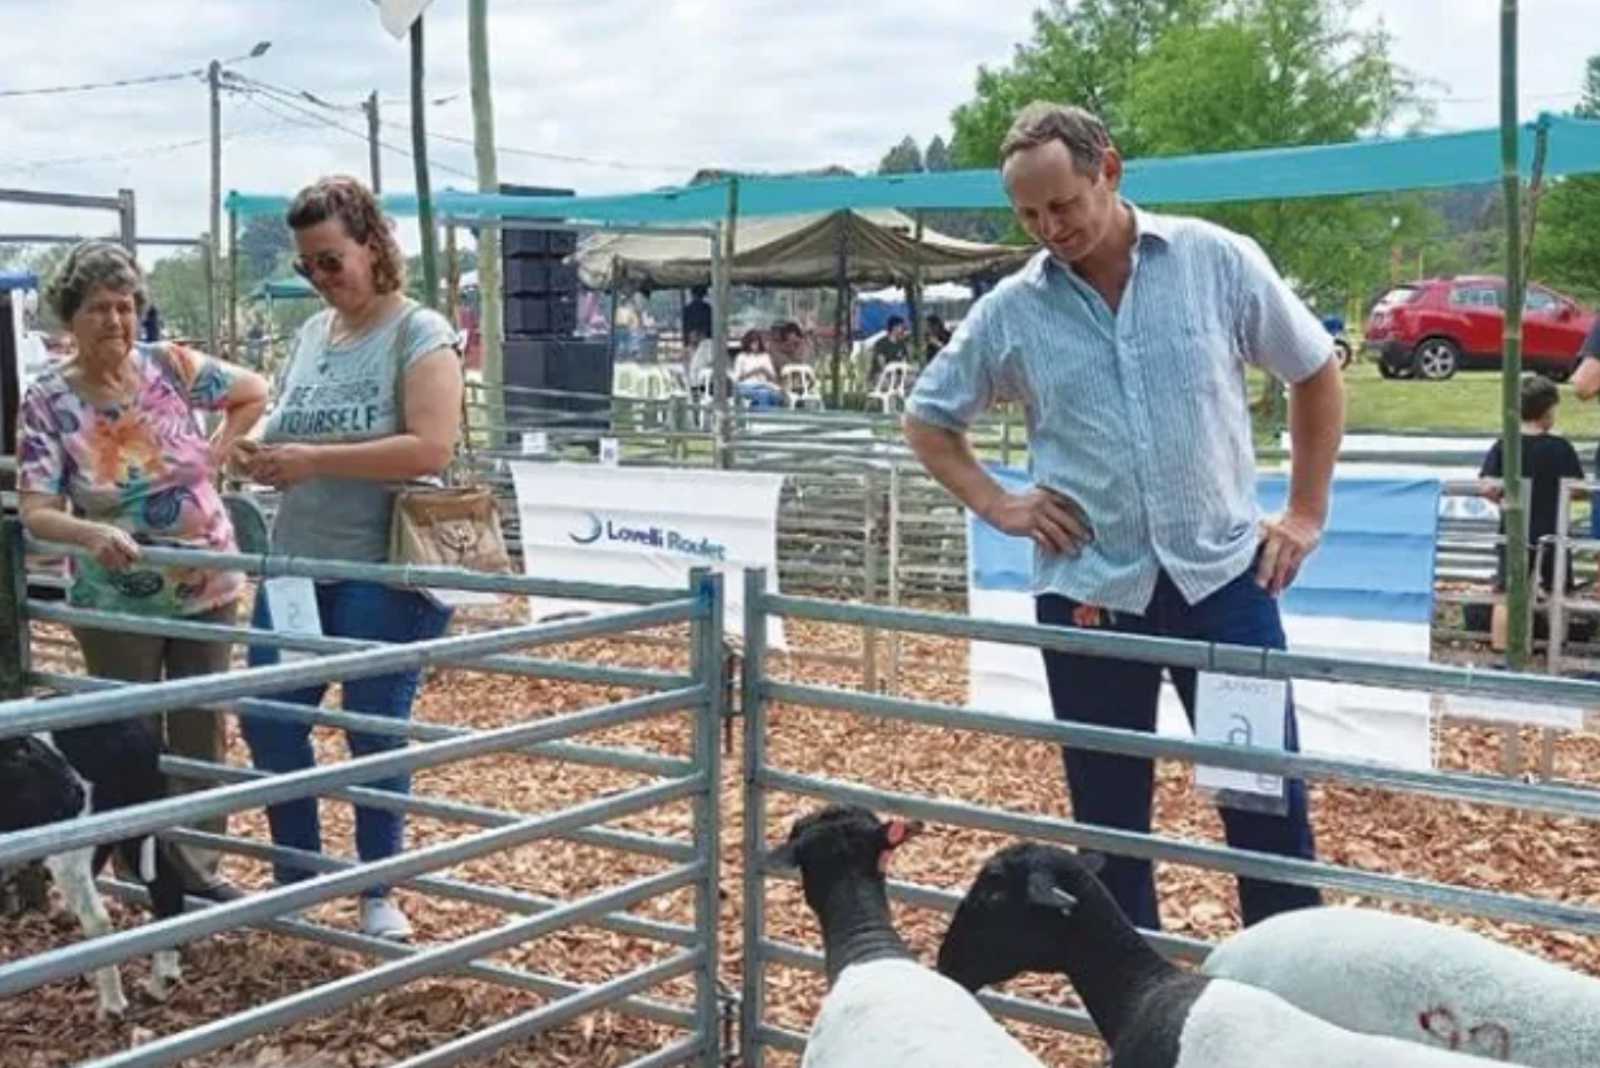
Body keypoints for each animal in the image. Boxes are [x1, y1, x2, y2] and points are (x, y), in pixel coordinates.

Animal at [0, 725, 197, 1016]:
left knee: (98, 919)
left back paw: (113, 1004)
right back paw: (162, 980)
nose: (75, 792)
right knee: (167, 884)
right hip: (135, 825)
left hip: (72, 845)